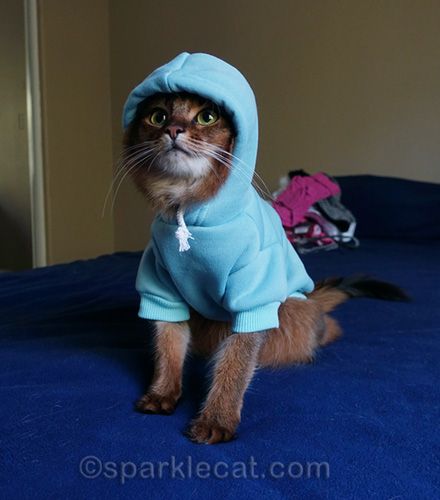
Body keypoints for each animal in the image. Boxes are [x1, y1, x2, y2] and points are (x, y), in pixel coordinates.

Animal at [121, 91, 410, 446]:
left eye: (207, 117)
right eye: (158, 117)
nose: (173, 130)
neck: (187, 210)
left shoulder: (252, 303)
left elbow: (234, 367)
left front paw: (217, 418)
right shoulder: (163, 293)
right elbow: (168, 348)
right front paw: (163, 392)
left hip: (291, 318)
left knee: (321, 328)